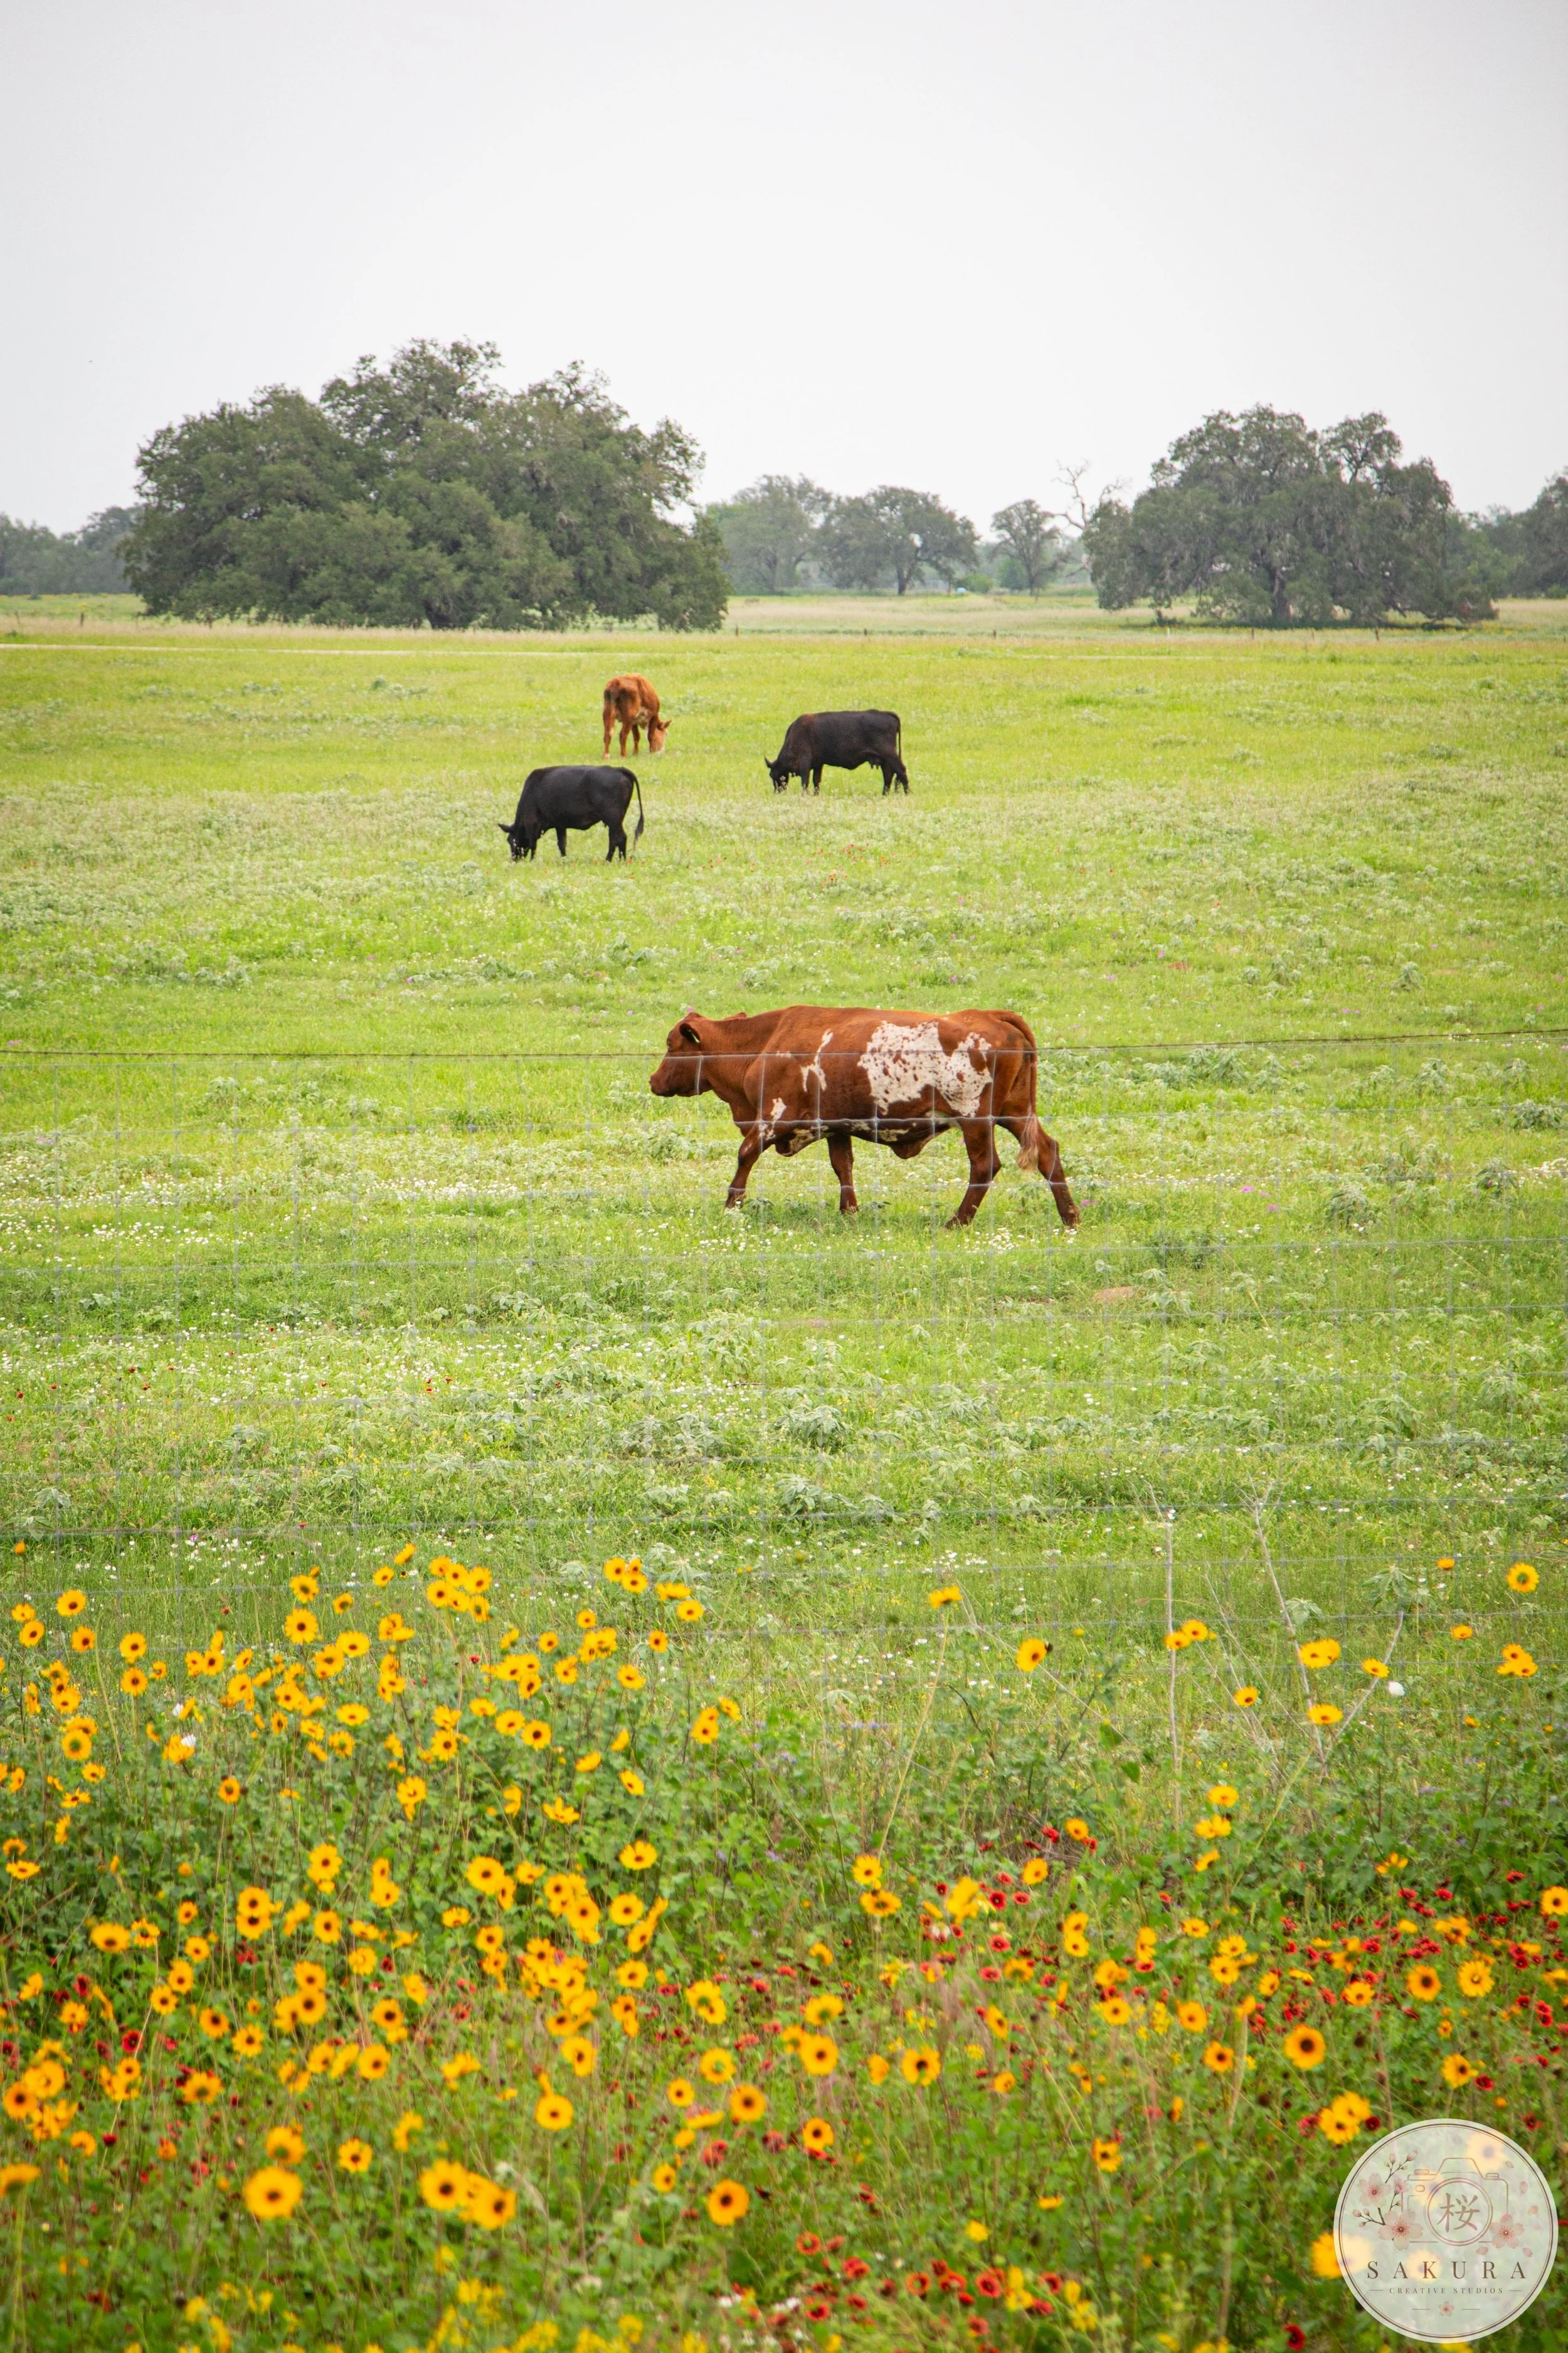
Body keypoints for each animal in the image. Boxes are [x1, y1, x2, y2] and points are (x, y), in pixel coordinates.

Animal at [499, 766, 645, 862]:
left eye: (511, 840)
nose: (514, 859)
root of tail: (618, 769)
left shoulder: (532, 822)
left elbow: (533, 844)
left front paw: (532, 861)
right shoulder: (560, 825)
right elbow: (562, 843)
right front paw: (564, 859)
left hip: (612, 819)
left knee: (620, 838)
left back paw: (612, 860)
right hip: (615, 820)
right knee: (615, 838)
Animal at [603, 674, 668, 757]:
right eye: (666, 734)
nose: (662, 751)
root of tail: (616, 682)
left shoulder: (634, 721)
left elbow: (636, 736)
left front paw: (635, 753)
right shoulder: (654, 716)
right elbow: (651, 735)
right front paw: (652, 752)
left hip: (607, 713)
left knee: (608, 734)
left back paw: (606, 756)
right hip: (628, 717)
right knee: (623, 735)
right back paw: (624, 755)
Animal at [648, 1004, 1078, 1230]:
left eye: (671, 1046)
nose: (652, 1080)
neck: (763, 1043)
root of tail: (991, 1015)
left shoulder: (772, 1117)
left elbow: (745, 1156)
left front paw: (731, 1206)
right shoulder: (836, 1125)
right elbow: (843, 1166)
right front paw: (849, 1212)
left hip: (975, 1119)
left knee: (985, 1165)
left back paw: (957, 1221)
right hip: (1016, 1113)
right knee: (1048, 1152)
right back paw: (1070, 1216)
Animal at [766, 710, 908, 795]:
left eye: (773, 775)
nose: (777, 792)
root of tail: (887, 714)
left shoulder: (805, 763)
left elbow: (805, 782)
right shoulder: (818, 764)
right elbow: (816, 781)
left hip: (889, 755)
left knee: (900, 770)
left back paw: (907, 793)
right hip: (884, 760)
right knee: (889, 774)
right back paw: (884, 795)